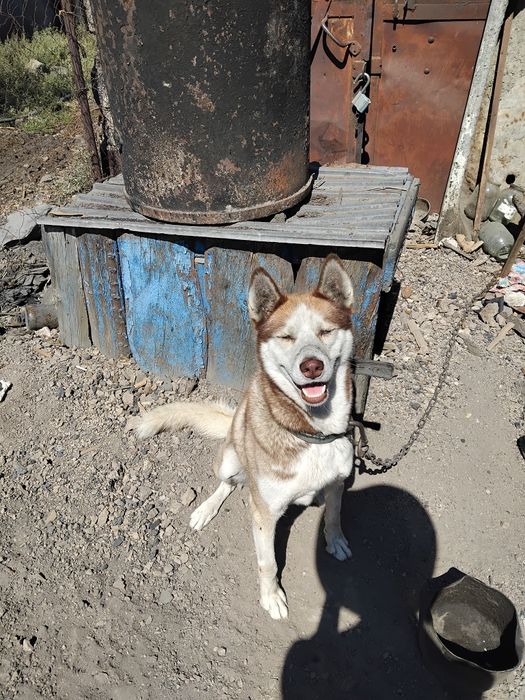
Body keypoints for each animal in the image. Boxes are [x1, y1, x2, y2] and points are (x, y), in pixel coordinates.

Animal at [135, 254, 355, 620]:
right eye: (286, 337)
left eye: (326, 331)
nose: (312, 366)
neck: (312, 433)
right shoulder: (265, 515)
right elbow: (268, 563)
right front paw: (272, 597)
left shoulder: (338, 482)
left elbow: (335, 515)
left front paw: (335, 539)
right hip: (228, 459)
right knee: (226, 483)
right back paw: (206, 509)